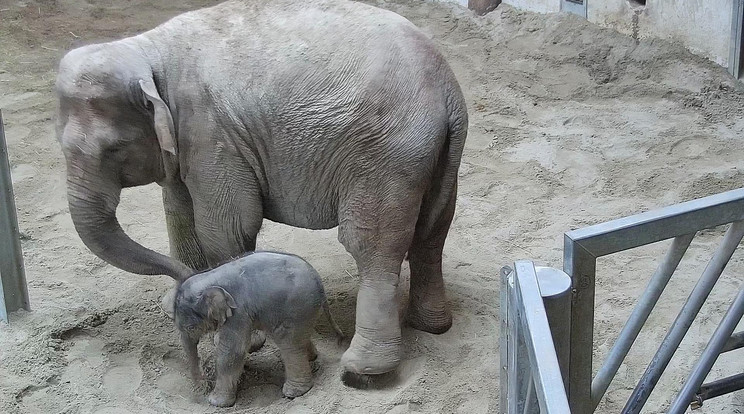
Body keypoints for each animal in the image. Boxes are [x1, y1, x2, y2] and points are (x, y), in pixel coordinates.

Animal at [56, 0, 464, 382]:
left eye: (114, 149)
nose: (181, 285)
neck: (145, 46)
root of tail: (448, 88)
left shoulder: (212, 135)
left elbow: (226, 227)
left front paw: (243, 338)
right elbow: (178, 212)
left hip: (386, 155)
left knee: (372, 246)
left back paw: (363, 372)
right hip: (438, 155)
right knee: (432, 232)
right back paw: (432, 326)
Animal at [175, 251, 346, 406]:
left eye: (190, 327)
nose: (202, 382)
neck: (208, 277)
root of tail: (318, 280)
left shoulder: (238, 311)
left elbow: (233, 350)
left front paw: (216, 402)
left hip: (296, 306)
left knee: (288, 343)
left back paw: (293, 392)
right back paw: (312, 358)